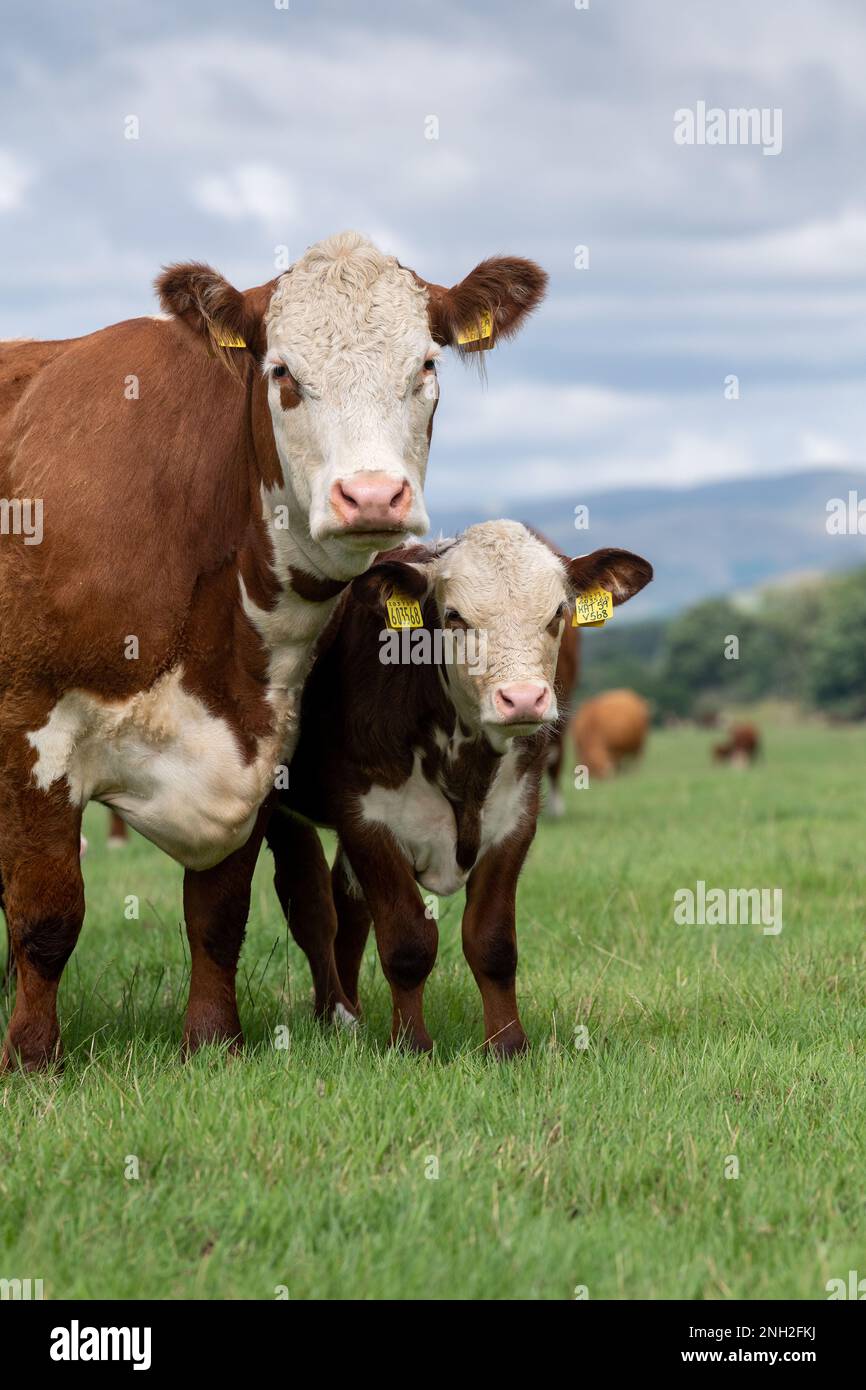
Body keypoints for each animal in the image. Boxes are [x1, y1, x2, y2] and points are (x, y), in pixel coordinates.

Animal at [0, 227, 547, 1061]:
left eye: (425, 364)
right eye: (283, 373)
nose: (372, 496)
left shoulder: (256, 745)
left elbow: (219, 915)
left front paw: (211, 1041)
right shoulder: (30, 731)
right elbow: (46, 913)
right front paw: (32, 1057)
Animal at [268, 525, 653, 1056]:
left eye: (558, 612)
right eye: (454, 617)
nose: (523, 699)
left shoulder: (514, 821)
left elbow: (492, 942)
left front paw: (508, 1045)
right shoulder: (367, 821)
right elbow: (407, 940)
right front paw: (411, 1044)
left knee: (347, 908)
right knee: (311, 906)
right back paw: (335, 1013)